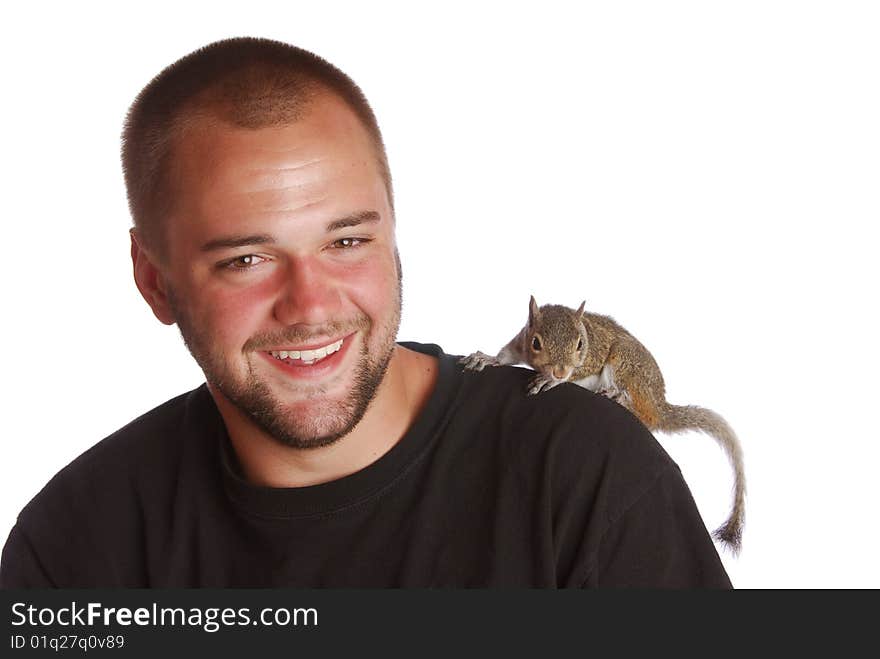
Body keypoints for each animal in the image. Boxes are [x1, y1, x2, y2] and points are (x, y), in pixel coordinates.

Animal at [460, 300, 744, 556]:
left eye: (580, 345)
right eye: (536, 343)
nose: (560, 372)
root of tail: (659, 404)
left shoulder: (590, 360)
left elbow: (577, 371)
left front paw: (550, 381)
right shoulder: (521, 341)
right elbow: (506, 354)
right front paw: (487, 359)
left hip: (625, 363)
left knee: (640, 409)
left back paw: (619, 397)